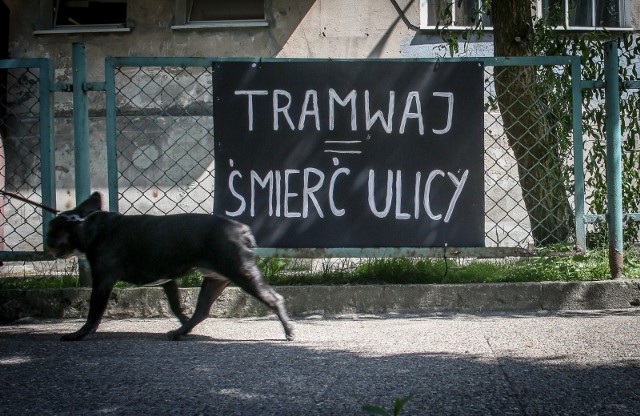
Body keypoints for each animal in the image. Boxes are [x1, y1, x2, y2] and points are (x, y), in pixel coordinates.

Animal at [47, 192, 296, 342]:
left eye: (51, 230)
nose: (46, 241)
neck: (84, 225)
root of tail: (242, 229)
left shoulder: (102, 282)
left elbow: (94, 311)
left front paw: (79, 334)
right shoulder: (168, 281)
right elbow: (177, 306)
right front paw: (185, 325)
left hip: (240, 272)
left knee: (274, 298)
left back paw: (289, 331)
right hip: (216, 279)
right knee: (202, 310)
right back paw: (181, 332)